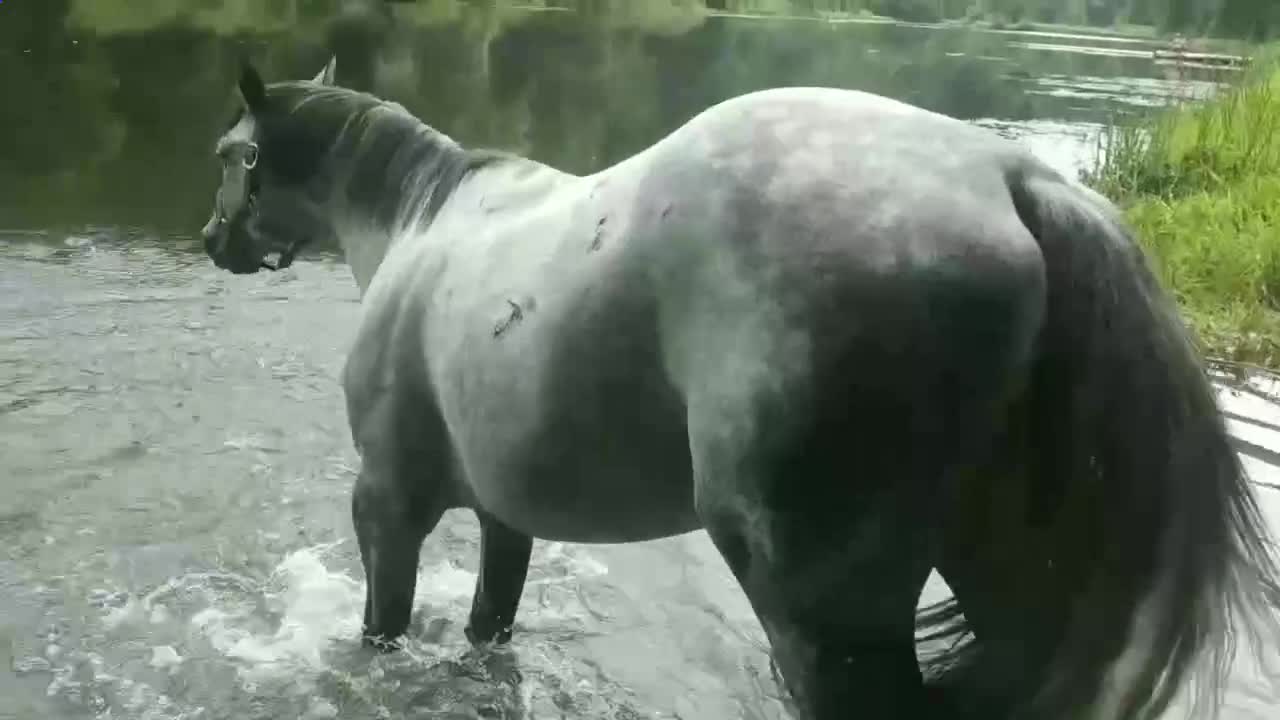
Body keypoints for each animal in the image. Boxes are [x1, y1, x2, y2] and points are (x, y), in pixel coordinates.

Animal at [199, 57, 1280, 719]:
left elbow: (380, 629)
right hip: (993, 567)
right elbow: (485, 625)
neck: (425, 227)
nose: (214, 241)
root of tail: (1013, 182)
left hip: (817, 601)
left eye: (230, 155)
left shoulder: (388, 504)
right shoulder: (506, 517)